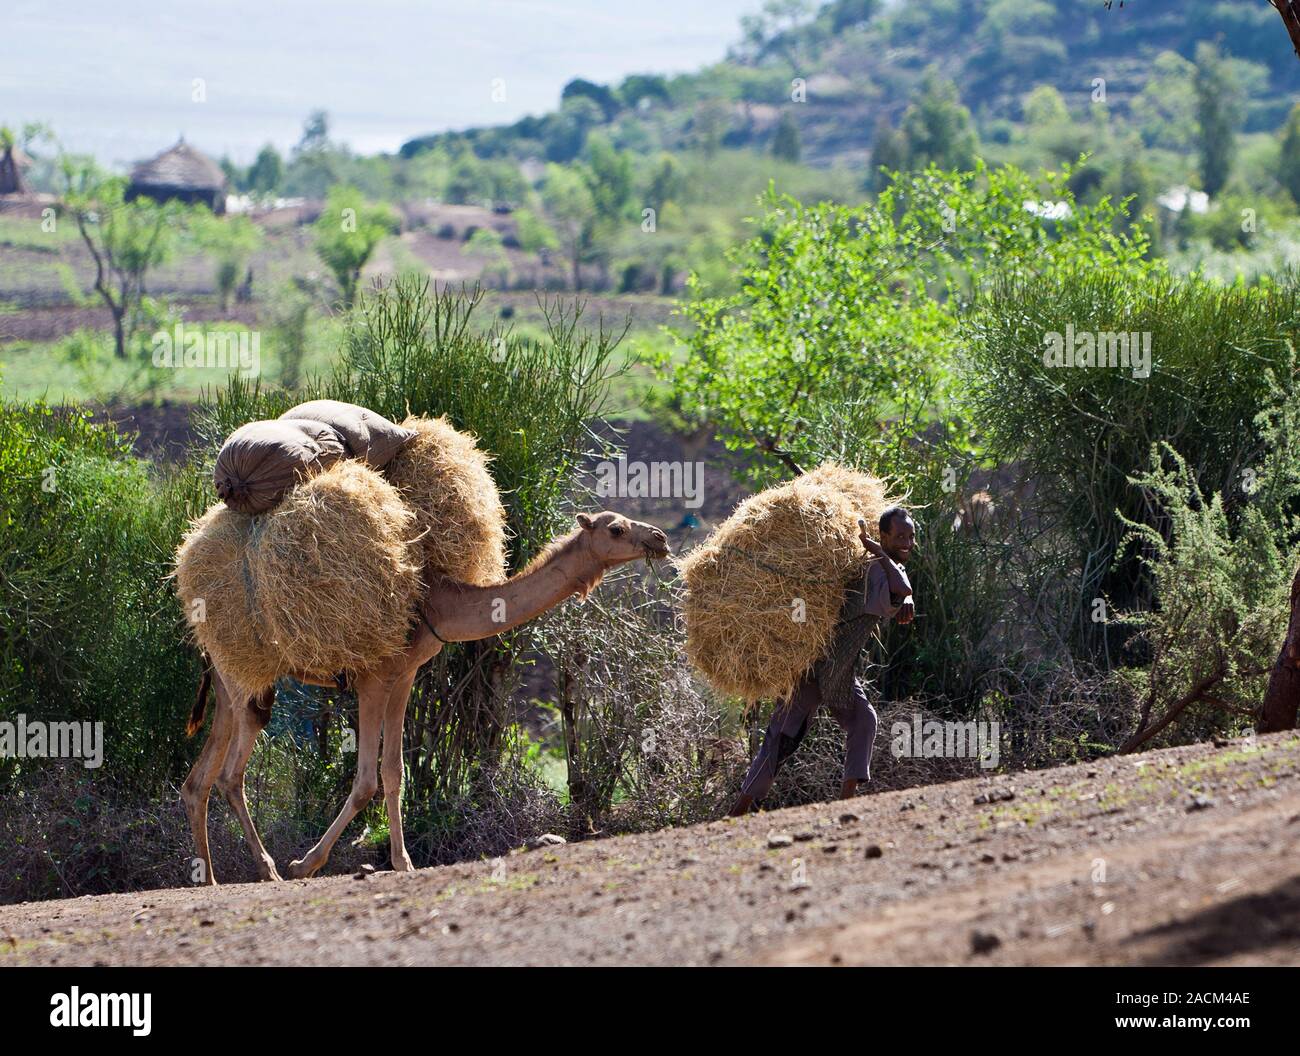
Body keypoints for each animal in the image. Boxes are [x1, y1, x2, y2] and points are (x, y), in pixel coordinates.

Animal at [182, 510, 670, 884]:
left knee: (198, 780)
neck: (437, 605)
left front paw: (402, 861)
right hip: (243, 676)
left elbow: (394, 771)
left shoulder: (404, 676)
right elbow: (366, 781)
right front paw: (306, 864)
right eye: (616, 529)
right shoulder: (373, 678)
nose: (660, 538)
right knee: (231, 772)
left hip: (224, 679)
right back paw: (267, 869)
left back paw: (208, 877)